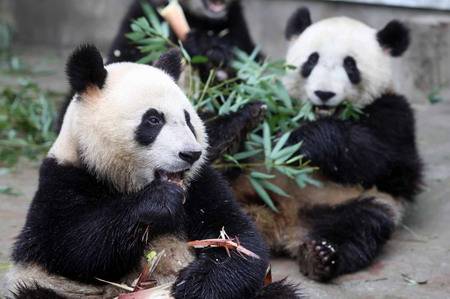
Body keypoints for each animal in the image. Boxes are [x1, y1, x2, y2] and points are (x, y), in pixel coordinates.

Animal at [230, 7, 424, 284]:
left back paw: (319, 256)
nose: (324, 93)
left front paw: (300, 141)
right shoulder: (278, 102)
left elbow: (390, 163)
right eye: (311, 61)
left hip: (349, 203)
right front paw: (244, 118)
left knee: (360, 225)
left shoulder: (394, 112)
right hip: (241, 186)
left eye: (350, 65)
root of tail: (281, 223)